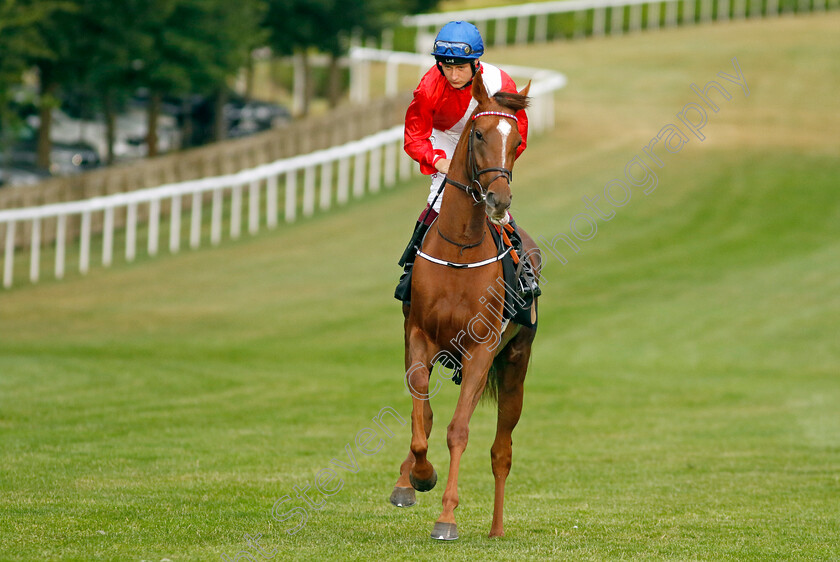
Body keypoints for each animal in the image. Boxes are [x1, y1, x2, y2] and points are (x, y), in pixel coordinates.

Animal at [390, 70, 540, 540]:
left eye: (517, 142)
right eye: (477, 134)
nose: (498, 200)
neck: (459, 249)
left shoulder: (481, 349)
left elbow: (459, 431)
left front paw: (447, 517)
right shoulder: (418, 336)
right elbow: (422, 417)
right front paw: (417, 478)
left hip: (515, 364)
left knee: (501, 449)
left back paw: (496, 528)